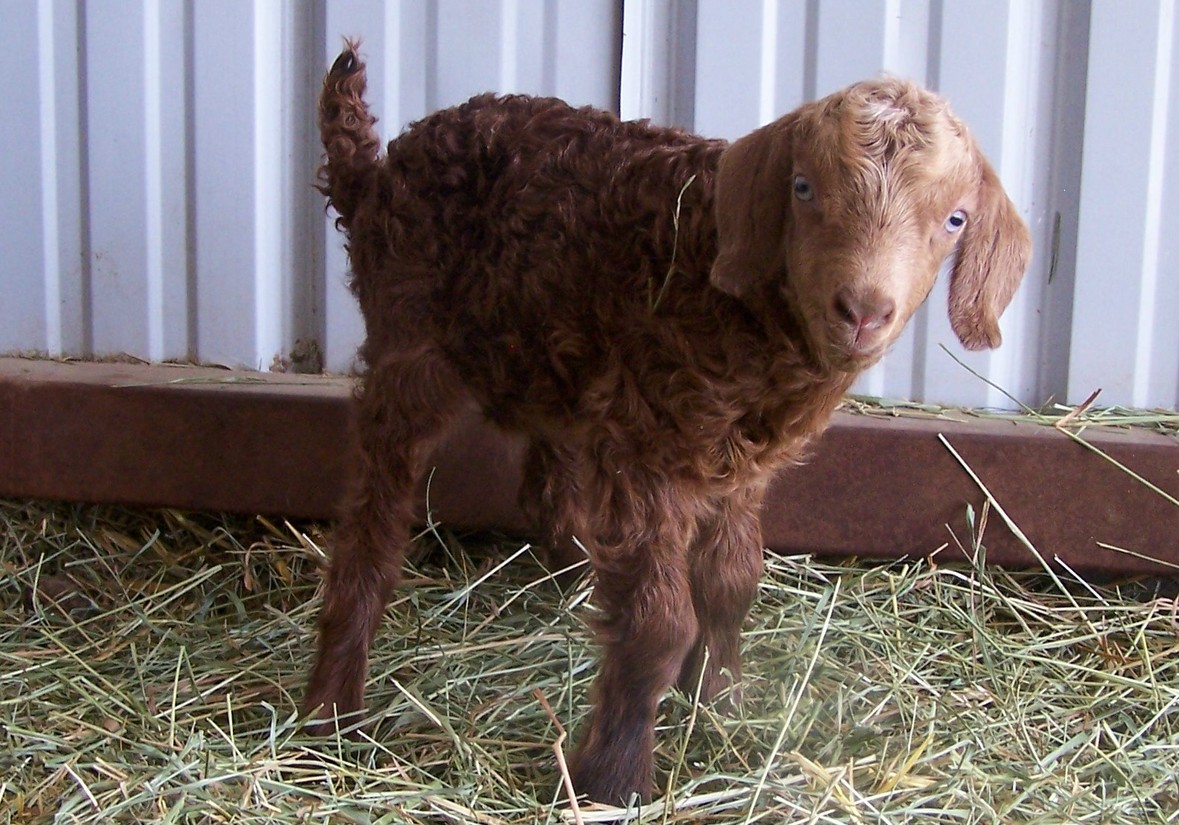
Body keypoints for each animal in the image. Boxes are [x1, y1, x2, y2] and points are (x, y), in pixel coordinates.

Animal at [304, 43, 1031, 804]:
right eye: (802, 188)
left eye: (955, 219)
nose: (862, 309)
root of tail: (377, 173)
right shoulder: (644, 447)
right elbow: (659, 624)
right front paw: (614, 777)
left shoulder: (737, 460)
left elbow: (732, 582)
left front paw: (720, 704)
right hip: (407, 346)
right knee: (372, 526)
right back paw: (331, 710)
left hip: (547, 351)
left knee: (545, 482)